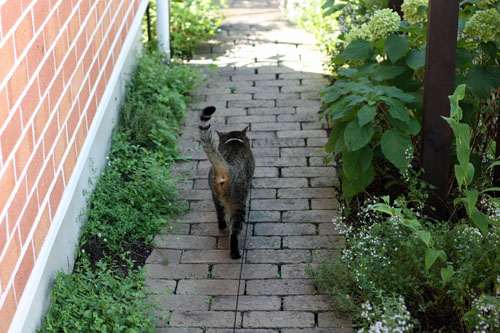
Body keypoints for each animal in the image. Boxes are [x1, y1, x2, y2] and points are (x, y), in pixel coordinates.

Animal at [198, 105, 254, 256]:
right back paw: (235, 253)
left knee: (220, 214)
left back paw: (222, 226)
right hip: (238, 202)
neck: (234, 141)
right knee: (234, 231)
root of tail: (227, 168)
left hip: (215, 194)